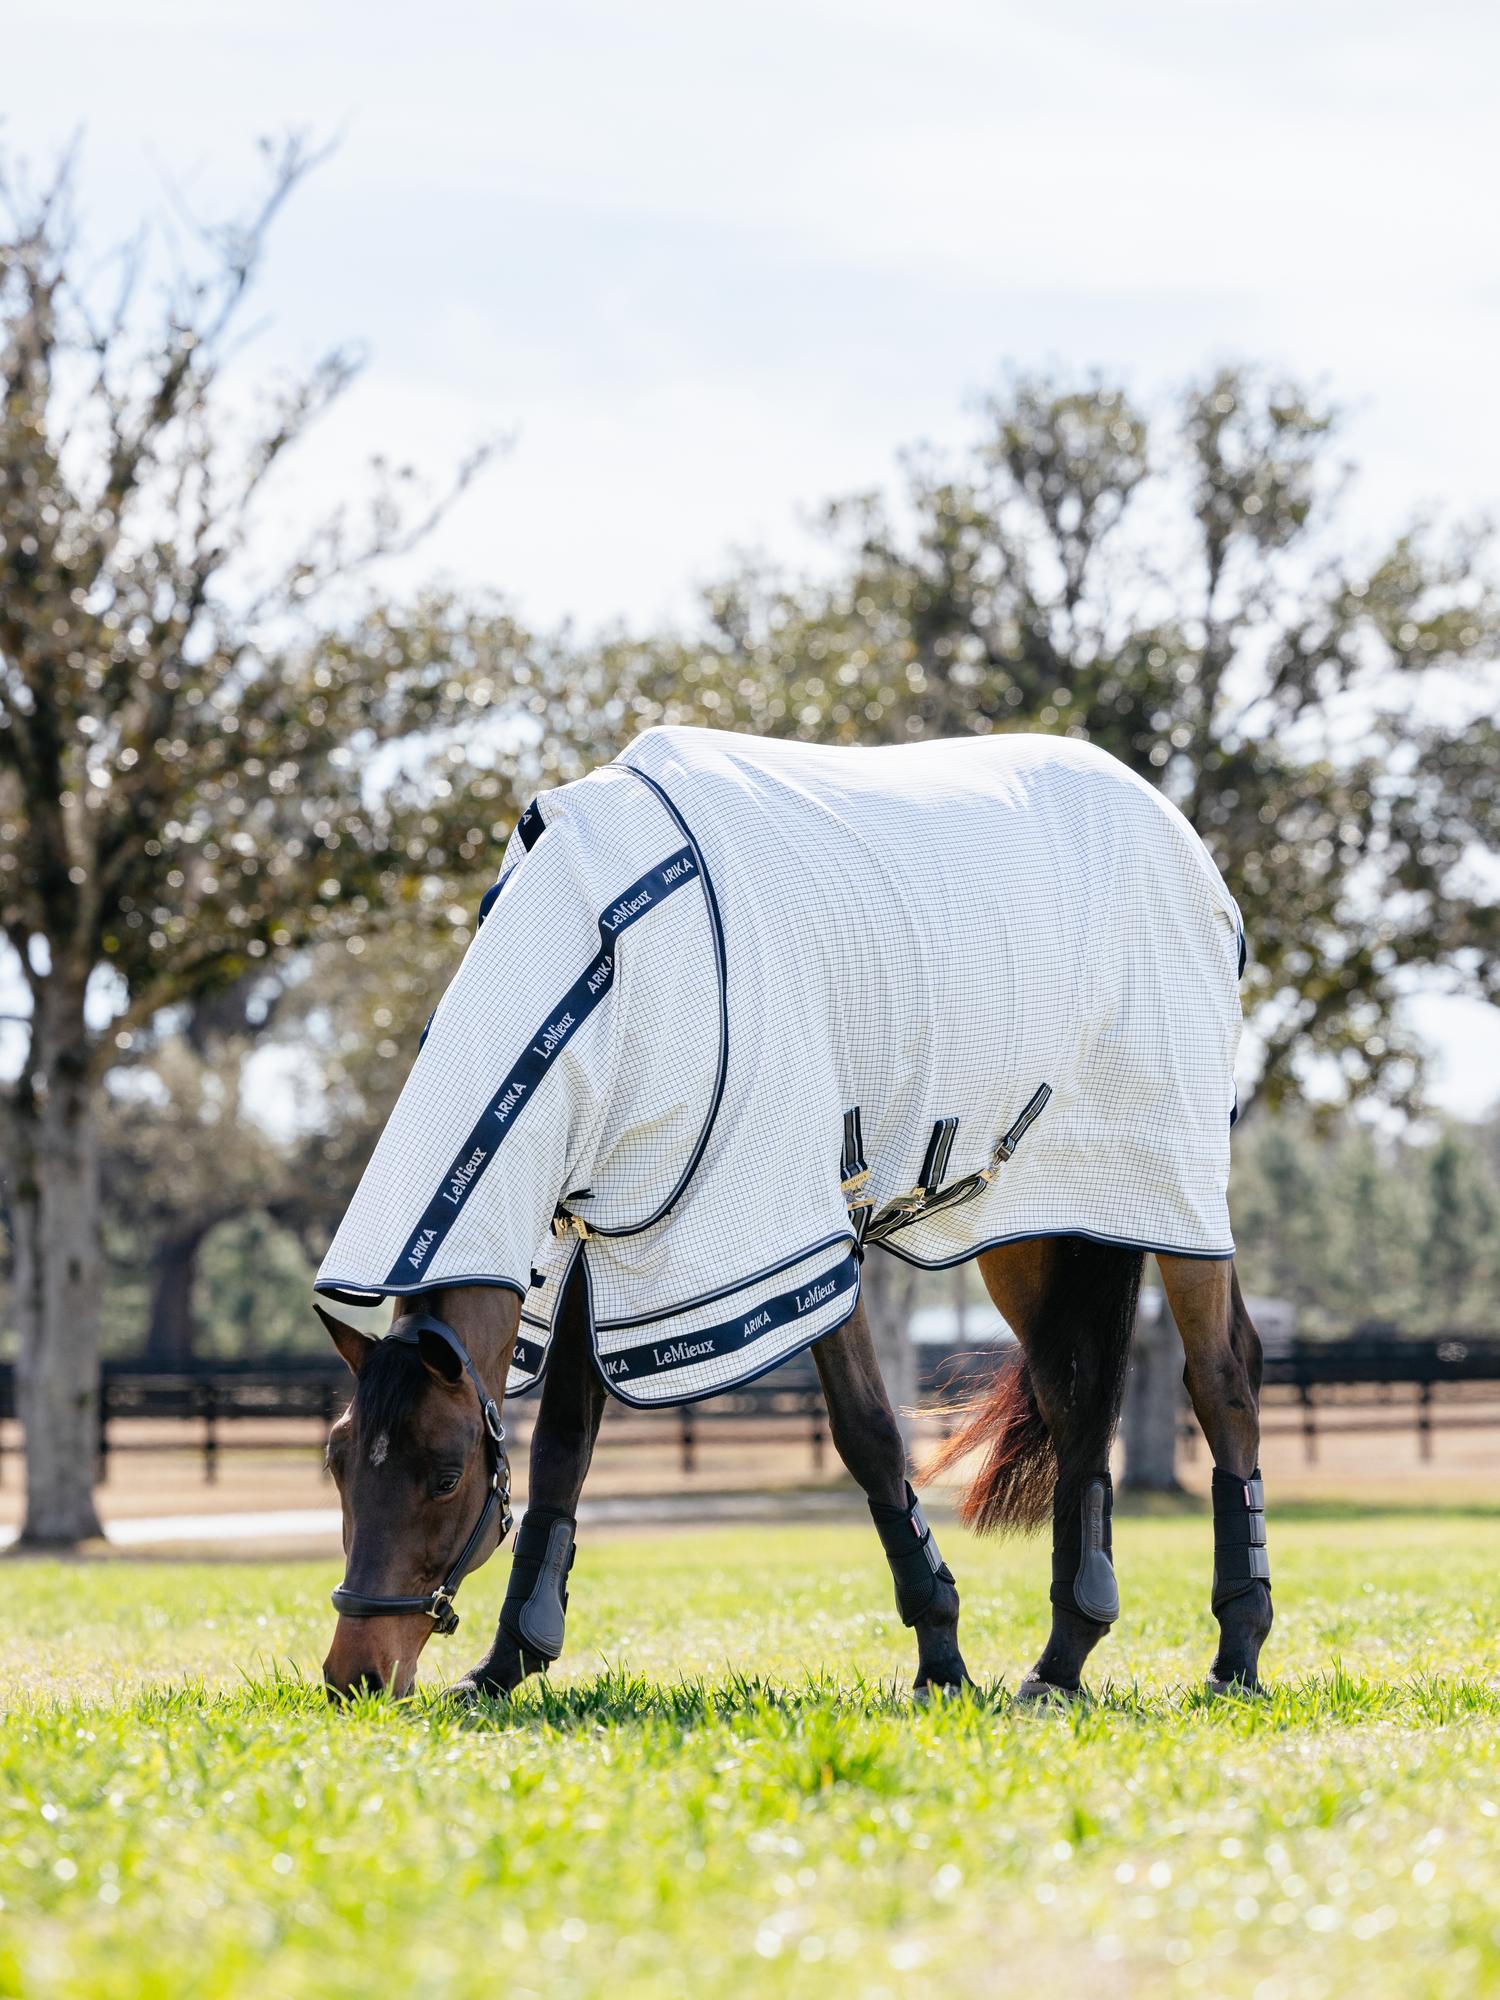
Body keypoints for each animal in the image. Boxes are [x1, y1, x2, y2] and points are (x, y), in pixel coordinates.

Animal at [314, 727, 1271, 1701]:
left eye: (445, 1475)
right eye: (338, 1460)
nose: (356, 1674)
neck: (609, 971)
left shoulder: (788, 1233)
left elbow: (869, 1433)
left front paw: (941, 1656)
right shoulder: (599, 1234)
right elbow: (563, 1449)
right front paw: (509, 1659)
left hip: (1175, 1197)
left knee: (1223, 1381)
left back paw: (1237, 1650)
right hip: (1046, 1227)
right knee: (1076, 1395)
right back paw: (1064, 1658)